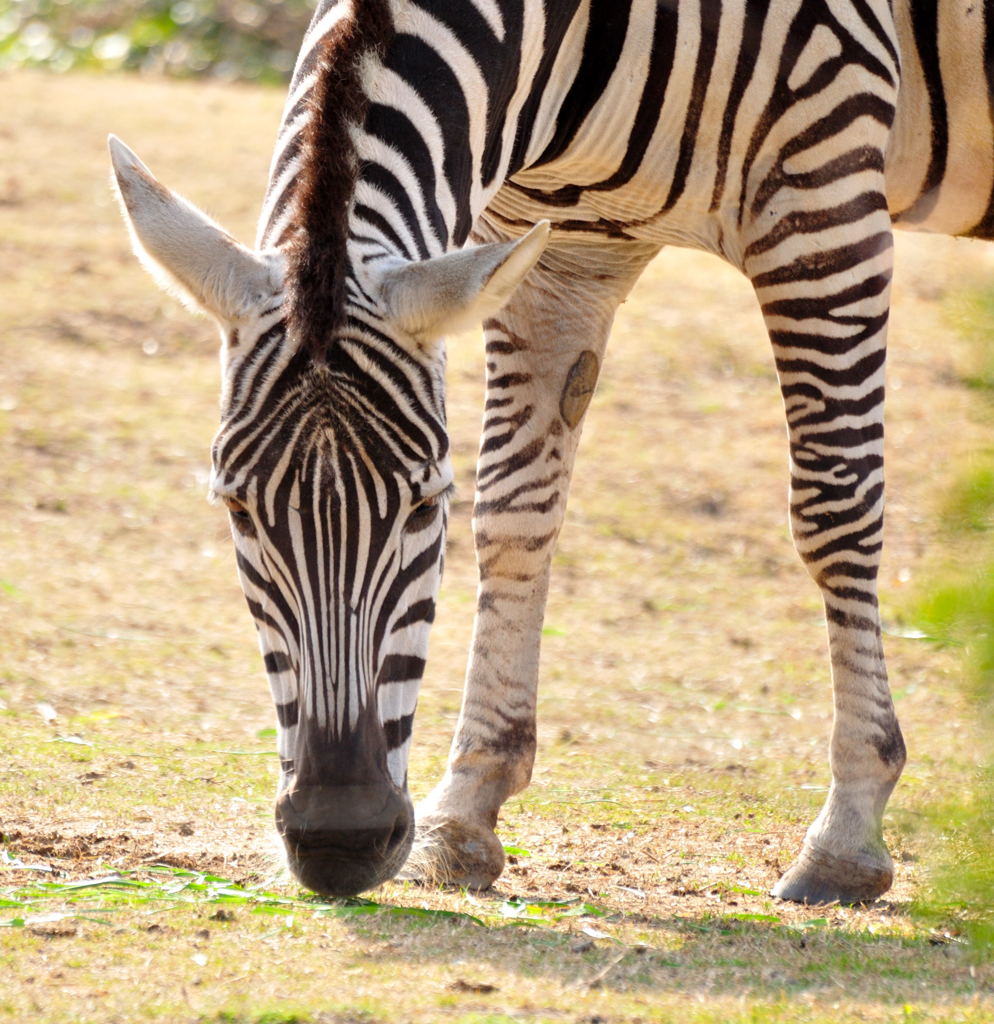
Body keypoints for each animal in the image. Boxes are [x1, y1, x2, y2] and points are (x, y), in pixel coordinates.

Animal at [106, 0, 986, 901]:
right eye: (237, 507)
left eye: (422, 505)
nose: (337, 841)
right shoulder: (559, 254)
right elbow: (514, 512)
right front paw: (468, 807)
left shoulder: (822, 191)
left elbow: (834, 508)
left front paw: (848, 833)